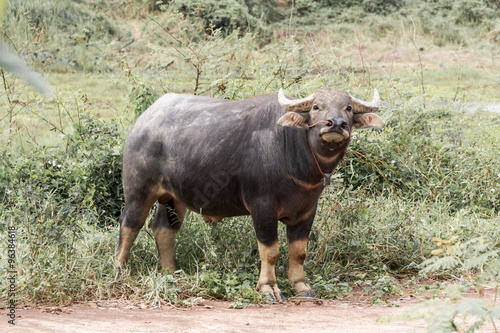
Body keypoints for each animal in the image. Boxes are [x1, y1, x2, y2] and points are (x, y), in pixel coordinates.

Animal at [116, 87, 382, 300]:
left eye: (348, 108)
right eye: (317, 107)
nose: (335, 124)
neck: (294, 156)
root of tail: (143, 121)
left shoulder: (307, 210)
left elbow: (299, 252)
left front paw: (301, 287)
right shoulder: (262, 207)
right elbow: (271, 251)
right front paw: (268, 288)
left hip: (174, 198)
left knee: (164, 228)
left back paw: (171, 273)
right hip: (138, 191)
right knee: (130, 226)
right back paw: (120, 271)